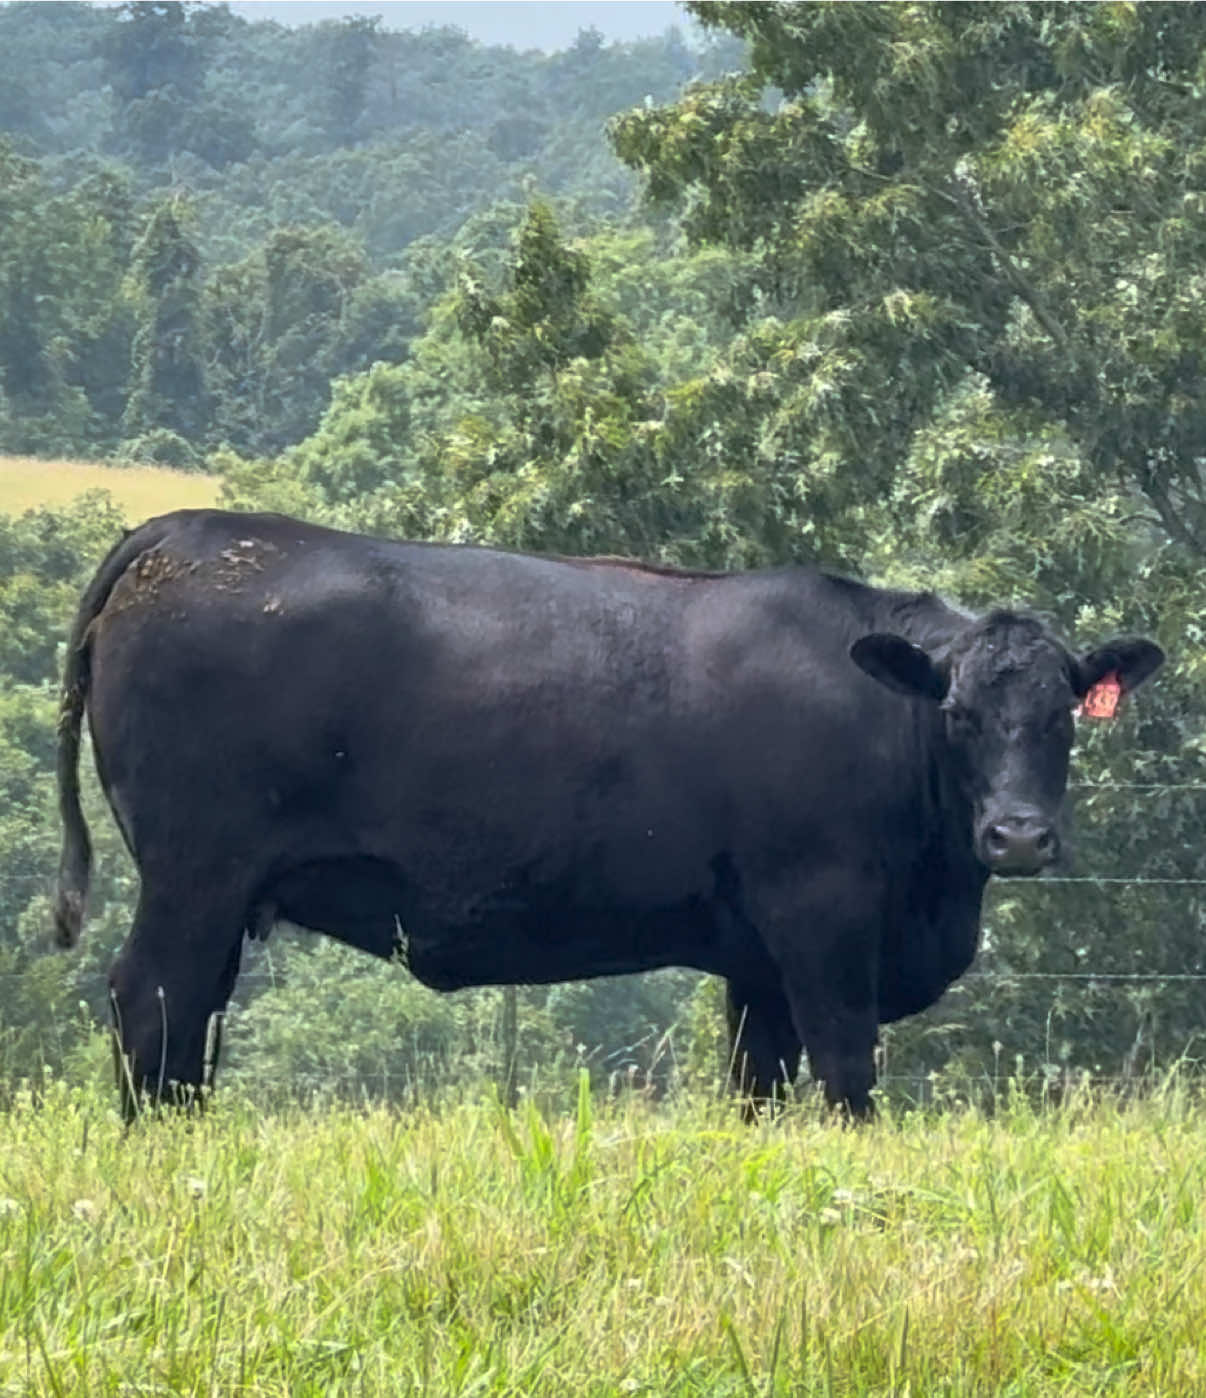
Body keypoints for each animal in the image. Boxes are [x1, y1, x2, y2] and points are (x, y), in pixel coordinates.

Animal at [54, 509, 1163, 1119]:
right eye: (958, 714)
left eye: (1063, 714)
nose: (1016, 836)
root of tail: (184, 531)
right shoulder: (823, 922)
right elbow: (847, 1074)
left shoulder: (758, 963)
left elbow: (759, 1089)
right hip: (194, 874)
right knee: (152, 1000)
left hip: (217, 892)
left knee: (188, 1018)